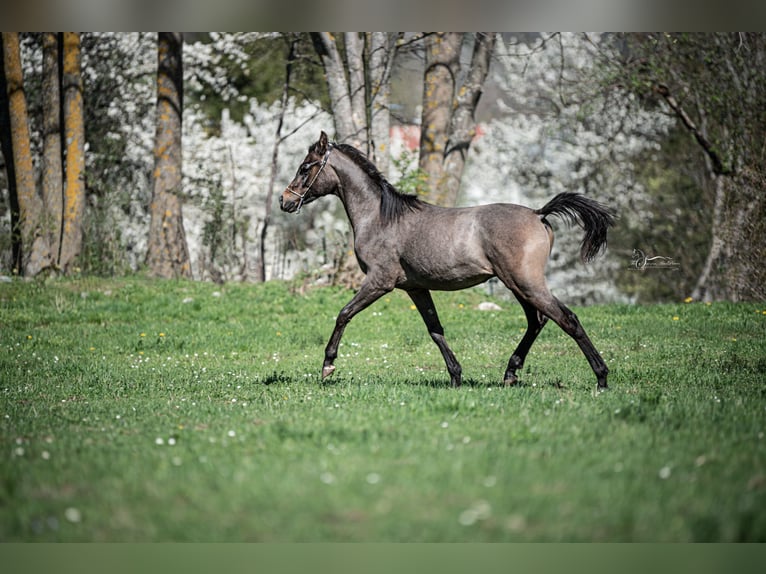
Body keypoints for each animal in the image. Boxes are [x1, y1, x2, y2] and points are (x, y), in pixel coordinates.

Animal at [282, 132, 616, 392]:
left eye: (305, 167)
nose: (285, 200)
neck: (380, 217)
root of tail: (538, 214)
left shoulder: (380, 281)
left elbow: (344, 314)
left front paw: (327, 366)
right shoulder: (415, 288)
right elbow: (435, 330)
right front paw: (456, 376)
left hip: (525, 282)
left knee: (566, 319)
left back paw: (601, 378)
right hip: (517, 284)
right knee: (537, 321)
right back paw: (510, 374)